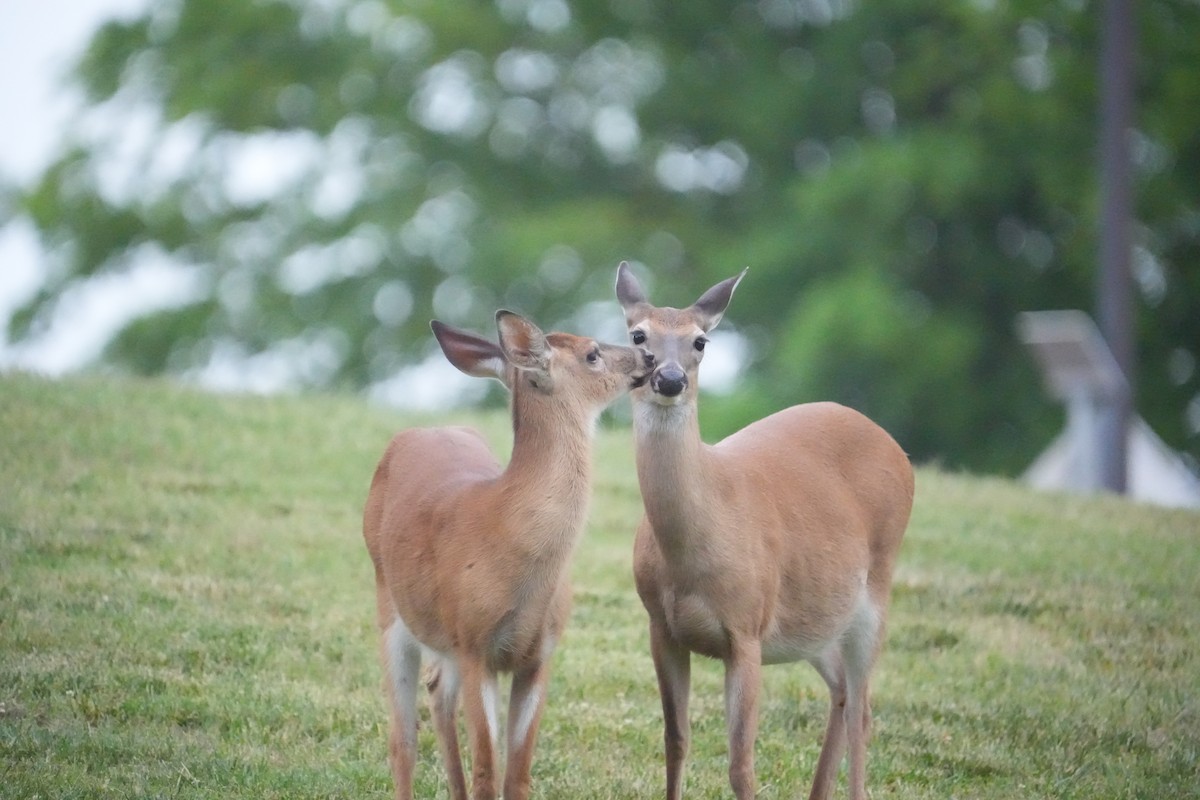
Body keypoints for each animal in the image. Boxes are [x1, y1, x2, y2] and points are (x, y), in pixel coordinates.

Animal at [362, 309, 649, 800]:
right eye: (592, 353)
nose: (649, 355)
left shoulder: (539, 654)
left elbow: (516, 774)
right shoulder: (476, 645)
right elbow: (486, 770)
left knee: (437, 692)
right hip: (392, 607)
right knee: (402, 739)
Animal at [614, 262, 914, 800]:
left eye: (700, 341)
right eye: (638, 335)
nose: (668, 379)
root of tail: (897, 449)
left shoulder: (747, 628)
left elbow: (741, 763)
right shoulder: (660, 627)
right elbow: (675, 741)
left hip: (876, 587)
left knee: (862, 710)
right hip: (817, 620)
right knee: (842, 692)